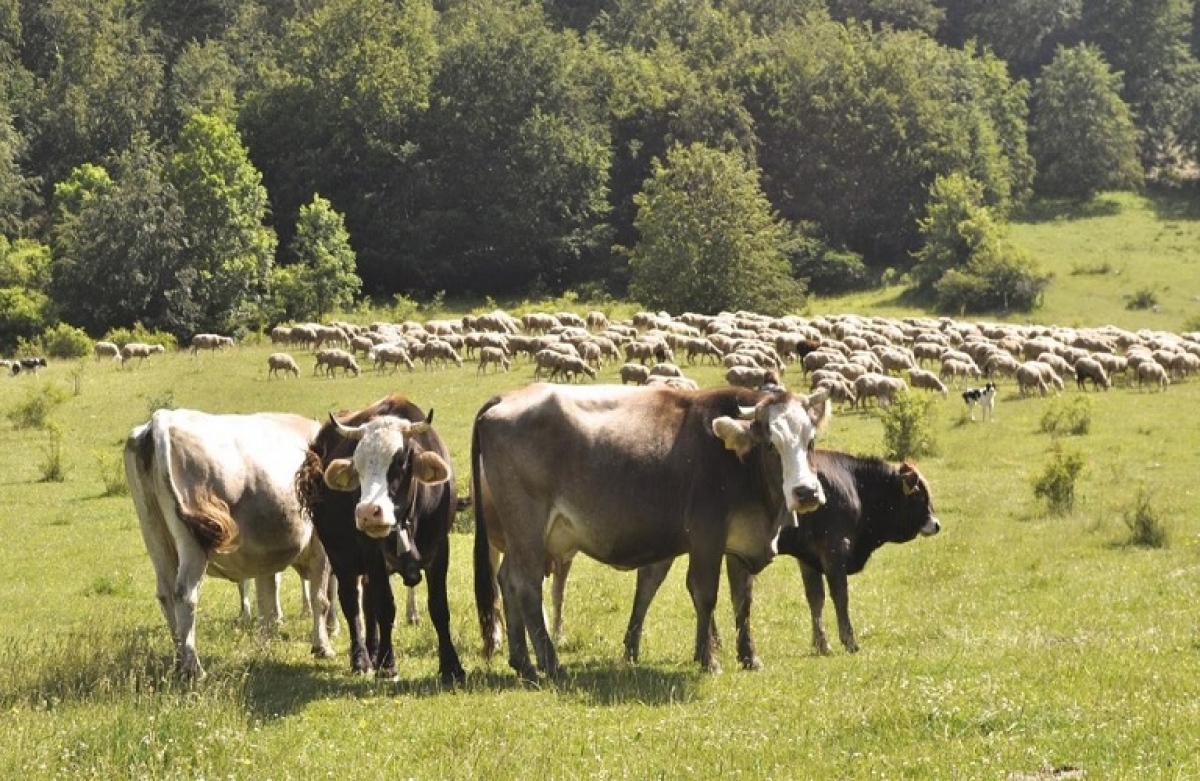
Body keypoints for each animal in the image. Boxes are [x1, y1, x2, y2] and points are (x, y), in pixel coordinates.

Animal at [124, 410, 338, 676]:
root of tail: (163, 419)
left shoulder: (266, 555)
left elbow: (267, 602)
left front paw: (265, 648)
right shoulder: (320, 547)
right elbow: (321, 597)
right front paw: (323, 646)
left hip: (154, 533)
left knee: (166, 595)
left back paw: (178, 660)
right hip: (192, 542)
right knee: (185, 594)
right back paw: (192, 667)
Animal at [295, 398, 463, 686]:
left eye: (400, 462)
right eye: (358, 464)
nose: (367, 513)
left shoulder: (440, 549)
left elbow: (439, 607)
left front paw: (452, 667)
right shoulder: (371, 552)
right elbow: (385, 606)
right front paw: (388, 665)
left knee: (367, 603)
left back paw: (373, 653)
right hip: (340, 557)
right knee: (351, 602)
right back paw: (362, 659)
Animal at [472, 381, 830, 681]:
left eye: (810, 441)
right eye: (770, 445)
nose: (806, 492)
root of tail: (506, 397)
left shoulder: (739, 542)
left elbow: (742, 600)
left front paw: (749, 657)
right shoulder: (706, 537)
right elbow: (705, 594)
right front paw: (709, 660)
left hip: (520, 538)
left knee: (508, 580)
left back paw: (523, 662)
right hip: (528, 529)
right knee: (527, 585)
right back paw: (549, 662)